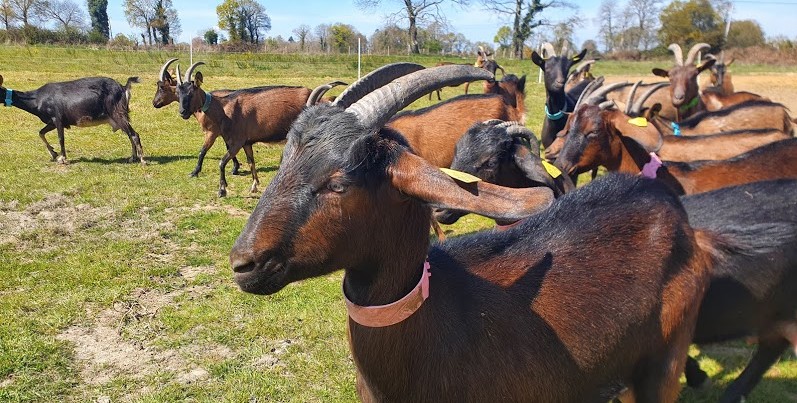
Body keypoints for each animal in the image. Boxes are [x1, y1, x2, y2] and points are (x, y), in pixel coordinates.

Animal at [0, 74, 145, 164]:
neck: (38, 99)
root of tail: (123, 87)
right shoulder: (51, 122)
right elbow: (41, 133)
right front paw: (53, 154)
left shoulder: (57, 119)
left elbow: (61, 138)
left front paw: (63, 158)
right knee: (129, 134)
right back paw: (132, 158)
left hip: (117, 113)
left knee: (134, 134)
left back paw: (142, 160)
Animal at [175, 61, 310, 197]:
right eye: (178, 93)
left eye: (191, 93)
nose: (182, 112)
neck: (224, 109)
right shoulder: (246, 143)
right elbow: (251, 162)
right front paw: (254, 186)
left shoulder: (236, 142)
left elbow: (221, 162)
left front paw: (222, 190)